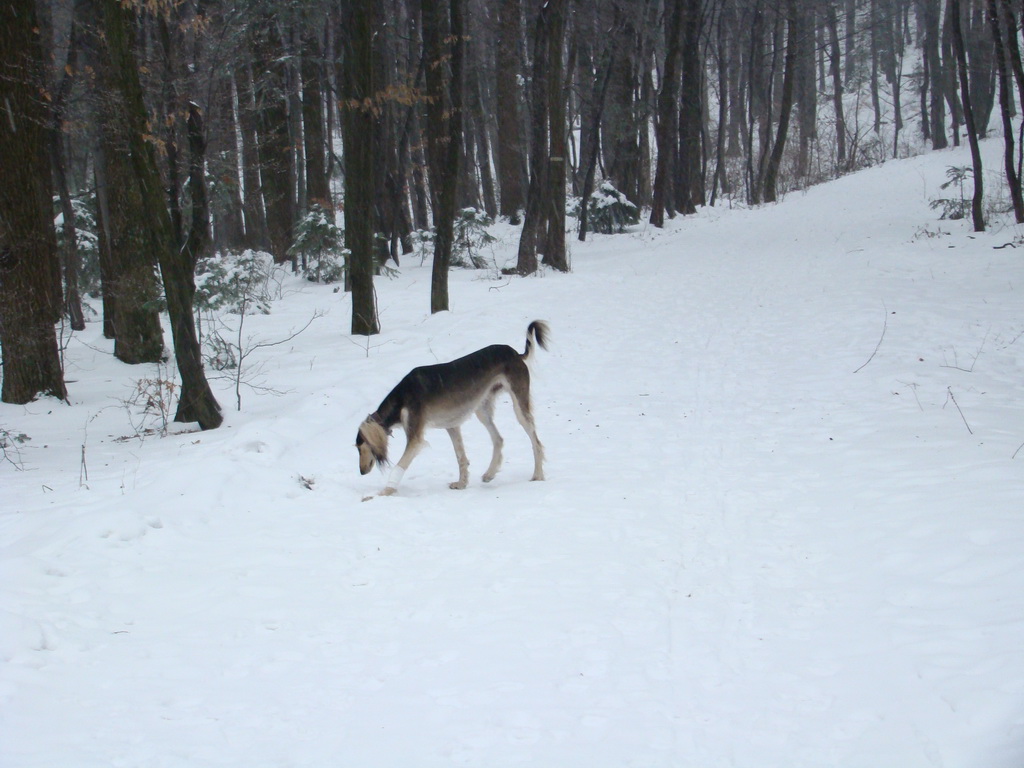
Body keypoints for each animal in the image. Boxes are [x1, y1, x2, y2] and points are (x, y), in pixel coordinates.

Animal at [360, 319, 552, 495]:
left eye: (360, 446)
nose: (361, 472)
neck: (402, 398)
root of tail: (515, 353)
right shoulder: (451, 425)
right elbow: (461, 456)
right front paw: (462, 483)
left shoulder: (416, 438)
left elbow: (399, 466)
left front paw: (386, 491)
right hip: (482, 409)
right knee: (498, 439)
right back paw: (490, 473)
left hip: (519, 406)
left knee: (536, 442)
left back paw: (538, 475)